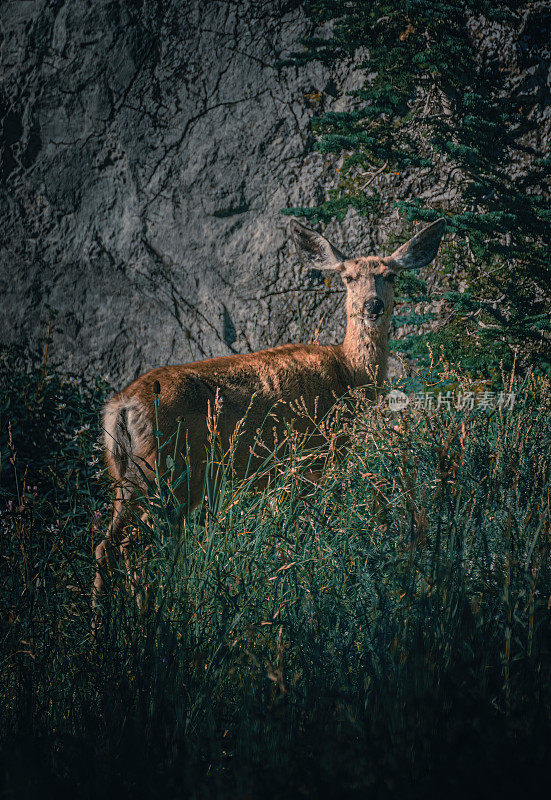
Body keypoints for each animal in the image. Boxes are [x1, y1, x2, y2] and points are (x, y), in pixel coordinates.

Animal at [94, 216, 444, 604]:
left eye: (391, 275)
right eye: (349, 277)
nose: (372, 305)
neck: (347, 374)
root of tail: (123, 404)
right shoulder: (310, 458)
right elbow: (302, 534)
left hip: (126, 474)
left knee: (107, 545)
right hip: (173, 471)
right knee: (137, 545)